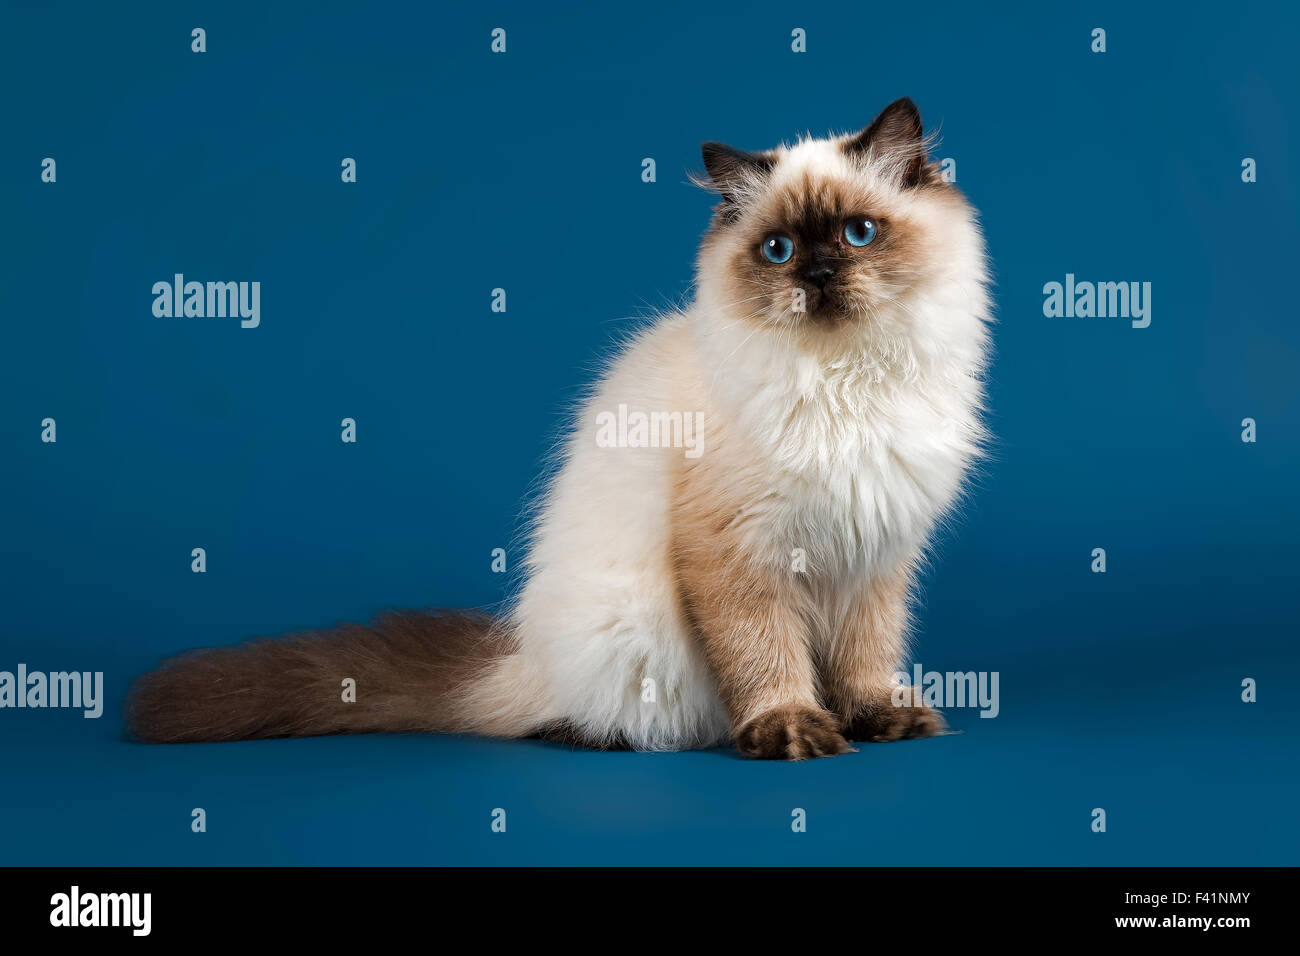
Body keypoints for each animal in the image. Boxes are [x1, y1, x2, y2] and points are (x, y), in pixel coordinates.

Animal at [126, 98, 987, 764]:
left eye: (858, 235)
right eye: (777, 250)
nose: (816, 275)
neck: (845, 381)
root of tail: (520, 655)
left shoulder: (876, 554)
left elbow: (866, 658)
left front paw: (875, 719)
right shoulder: (740, 550)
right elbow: (767, 657)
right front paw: (794, 733)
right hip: (630, 637)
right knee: (578, 716)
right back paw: (590, 733)